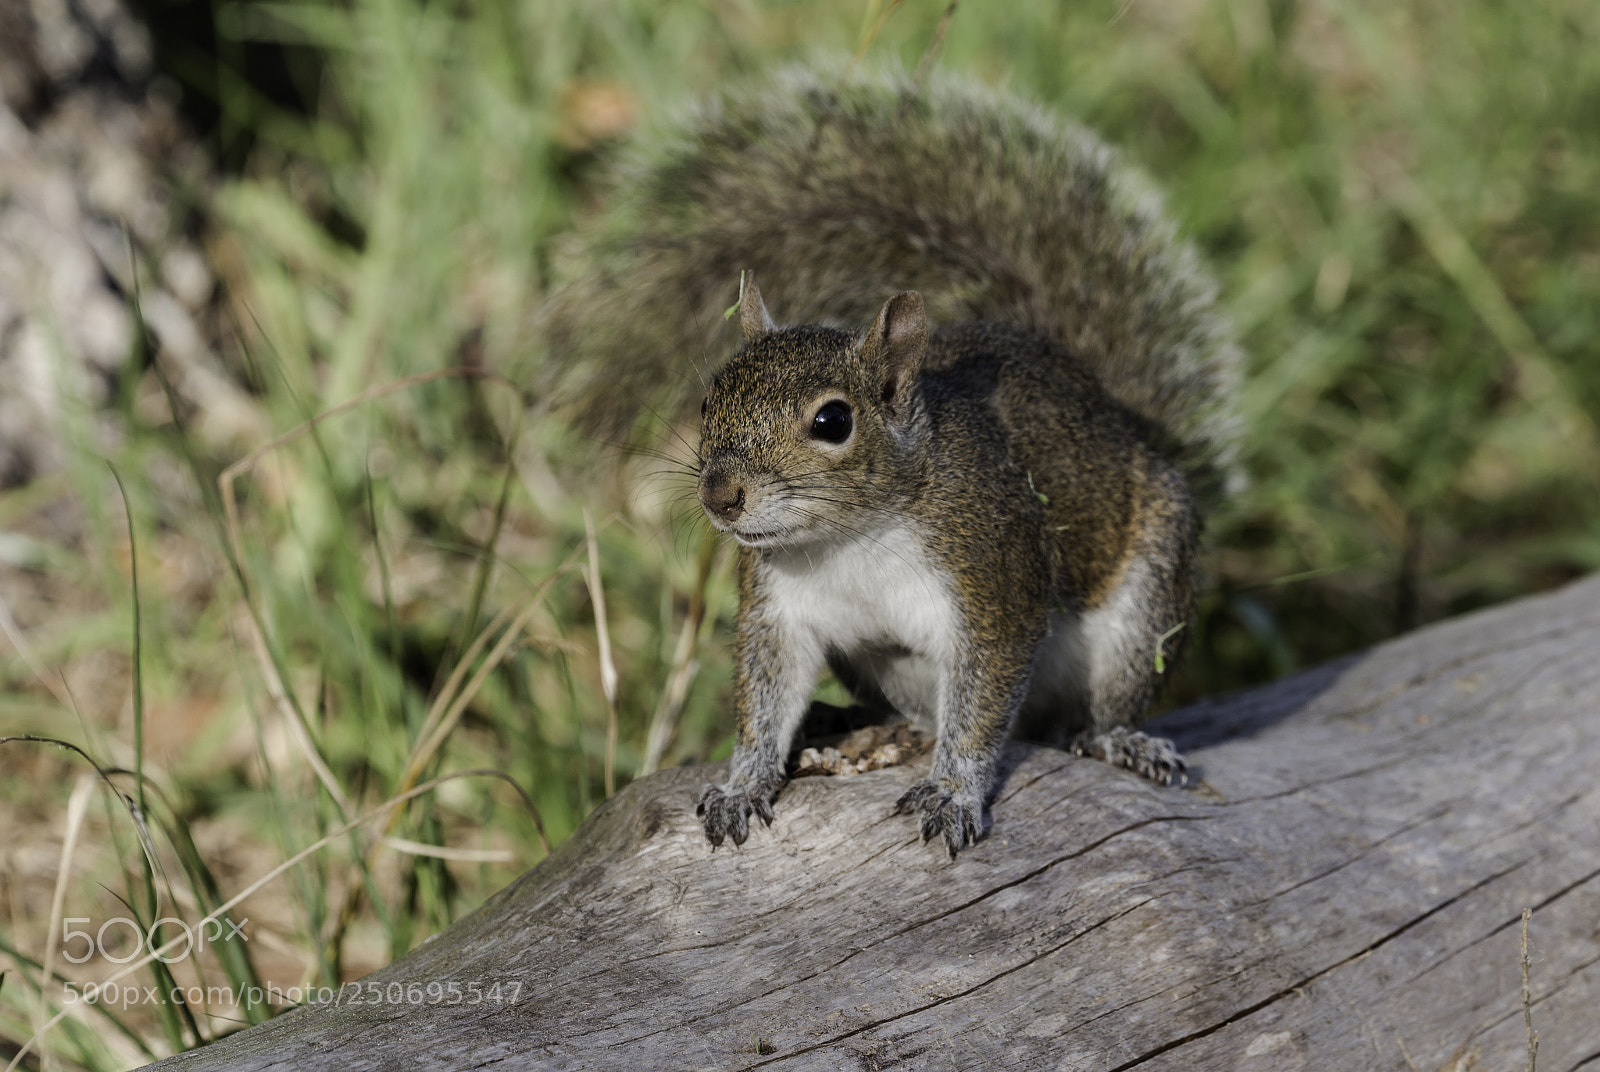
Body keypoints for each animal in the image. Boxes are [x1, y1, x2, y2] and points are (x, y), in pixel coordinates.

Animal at [536, 66, 1244, 857]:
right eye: (710, 398)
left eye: (833, 420)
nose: (720, 496)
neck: (851, 538)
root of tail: (1118, 416)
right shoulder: (780, 611)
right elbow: (765, 692)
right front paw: (744, 781)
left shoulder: (992, 578)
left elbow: (983, 701)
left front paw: (954, 791)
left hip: (1142, 610)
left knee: (1083, 714)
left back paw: (1119, 740)